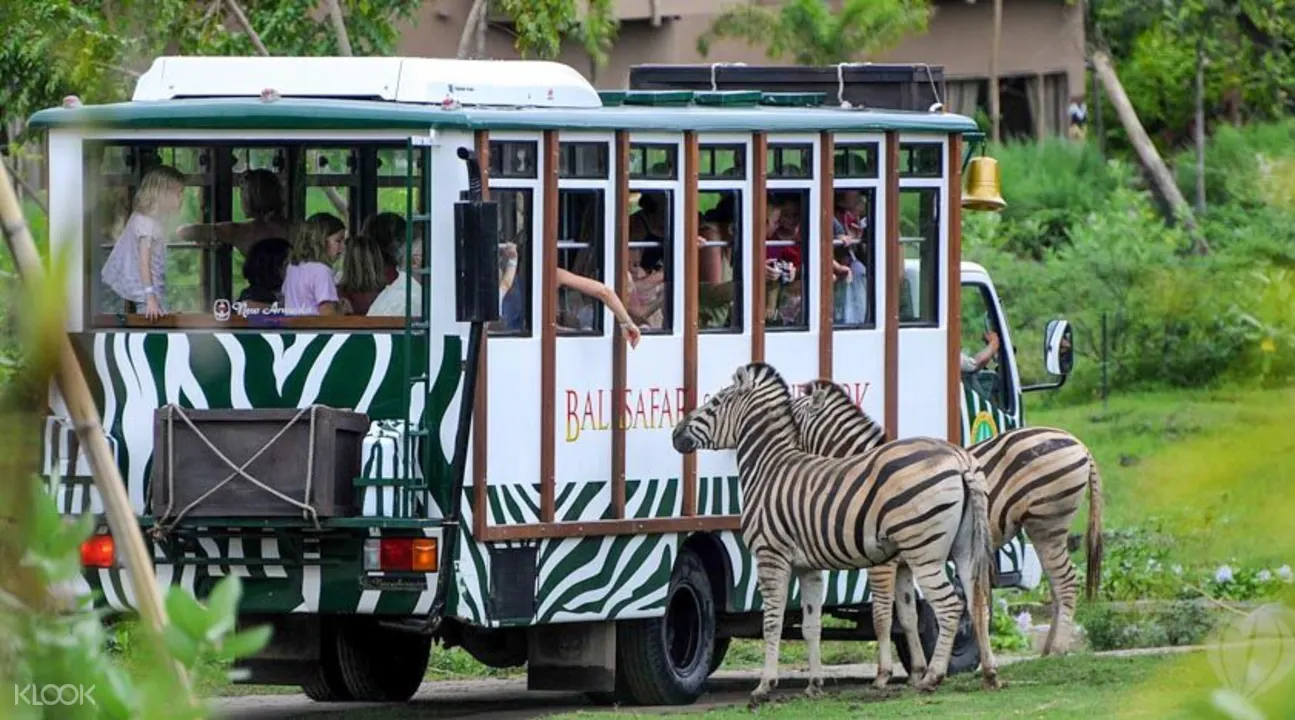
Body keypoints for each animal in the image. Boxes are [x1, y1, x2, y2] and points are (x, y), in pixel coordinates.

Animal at [668, 362, 999, 699]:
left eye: (715, 403)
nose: (676, 434)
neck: (769, 466)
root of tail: (960, 460)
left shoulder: (772, 556)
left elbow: (774, 622)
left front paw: (765, 686)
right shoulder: (809, 566)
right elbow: (814, 625)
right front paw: (815, 685)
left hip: (924, 552)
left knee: (949, 606)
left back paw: (933, 677)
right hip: (963, 549)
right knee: (977, 601)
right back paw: (988, 674)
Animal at [787, 378, 1103, 683]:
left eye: (792, 419)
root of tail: (1080, 444)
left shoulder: (882, 563)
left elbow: (882, 616)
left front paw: (885, 674)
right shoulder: (904, 563)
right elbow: (907, 617)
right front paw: (917, 671)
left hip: (1047, 524)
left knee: (1066, 581)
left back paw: (1057, 650)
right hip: (1043, 530)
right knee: (1056, 584)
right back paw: (1048, 650)